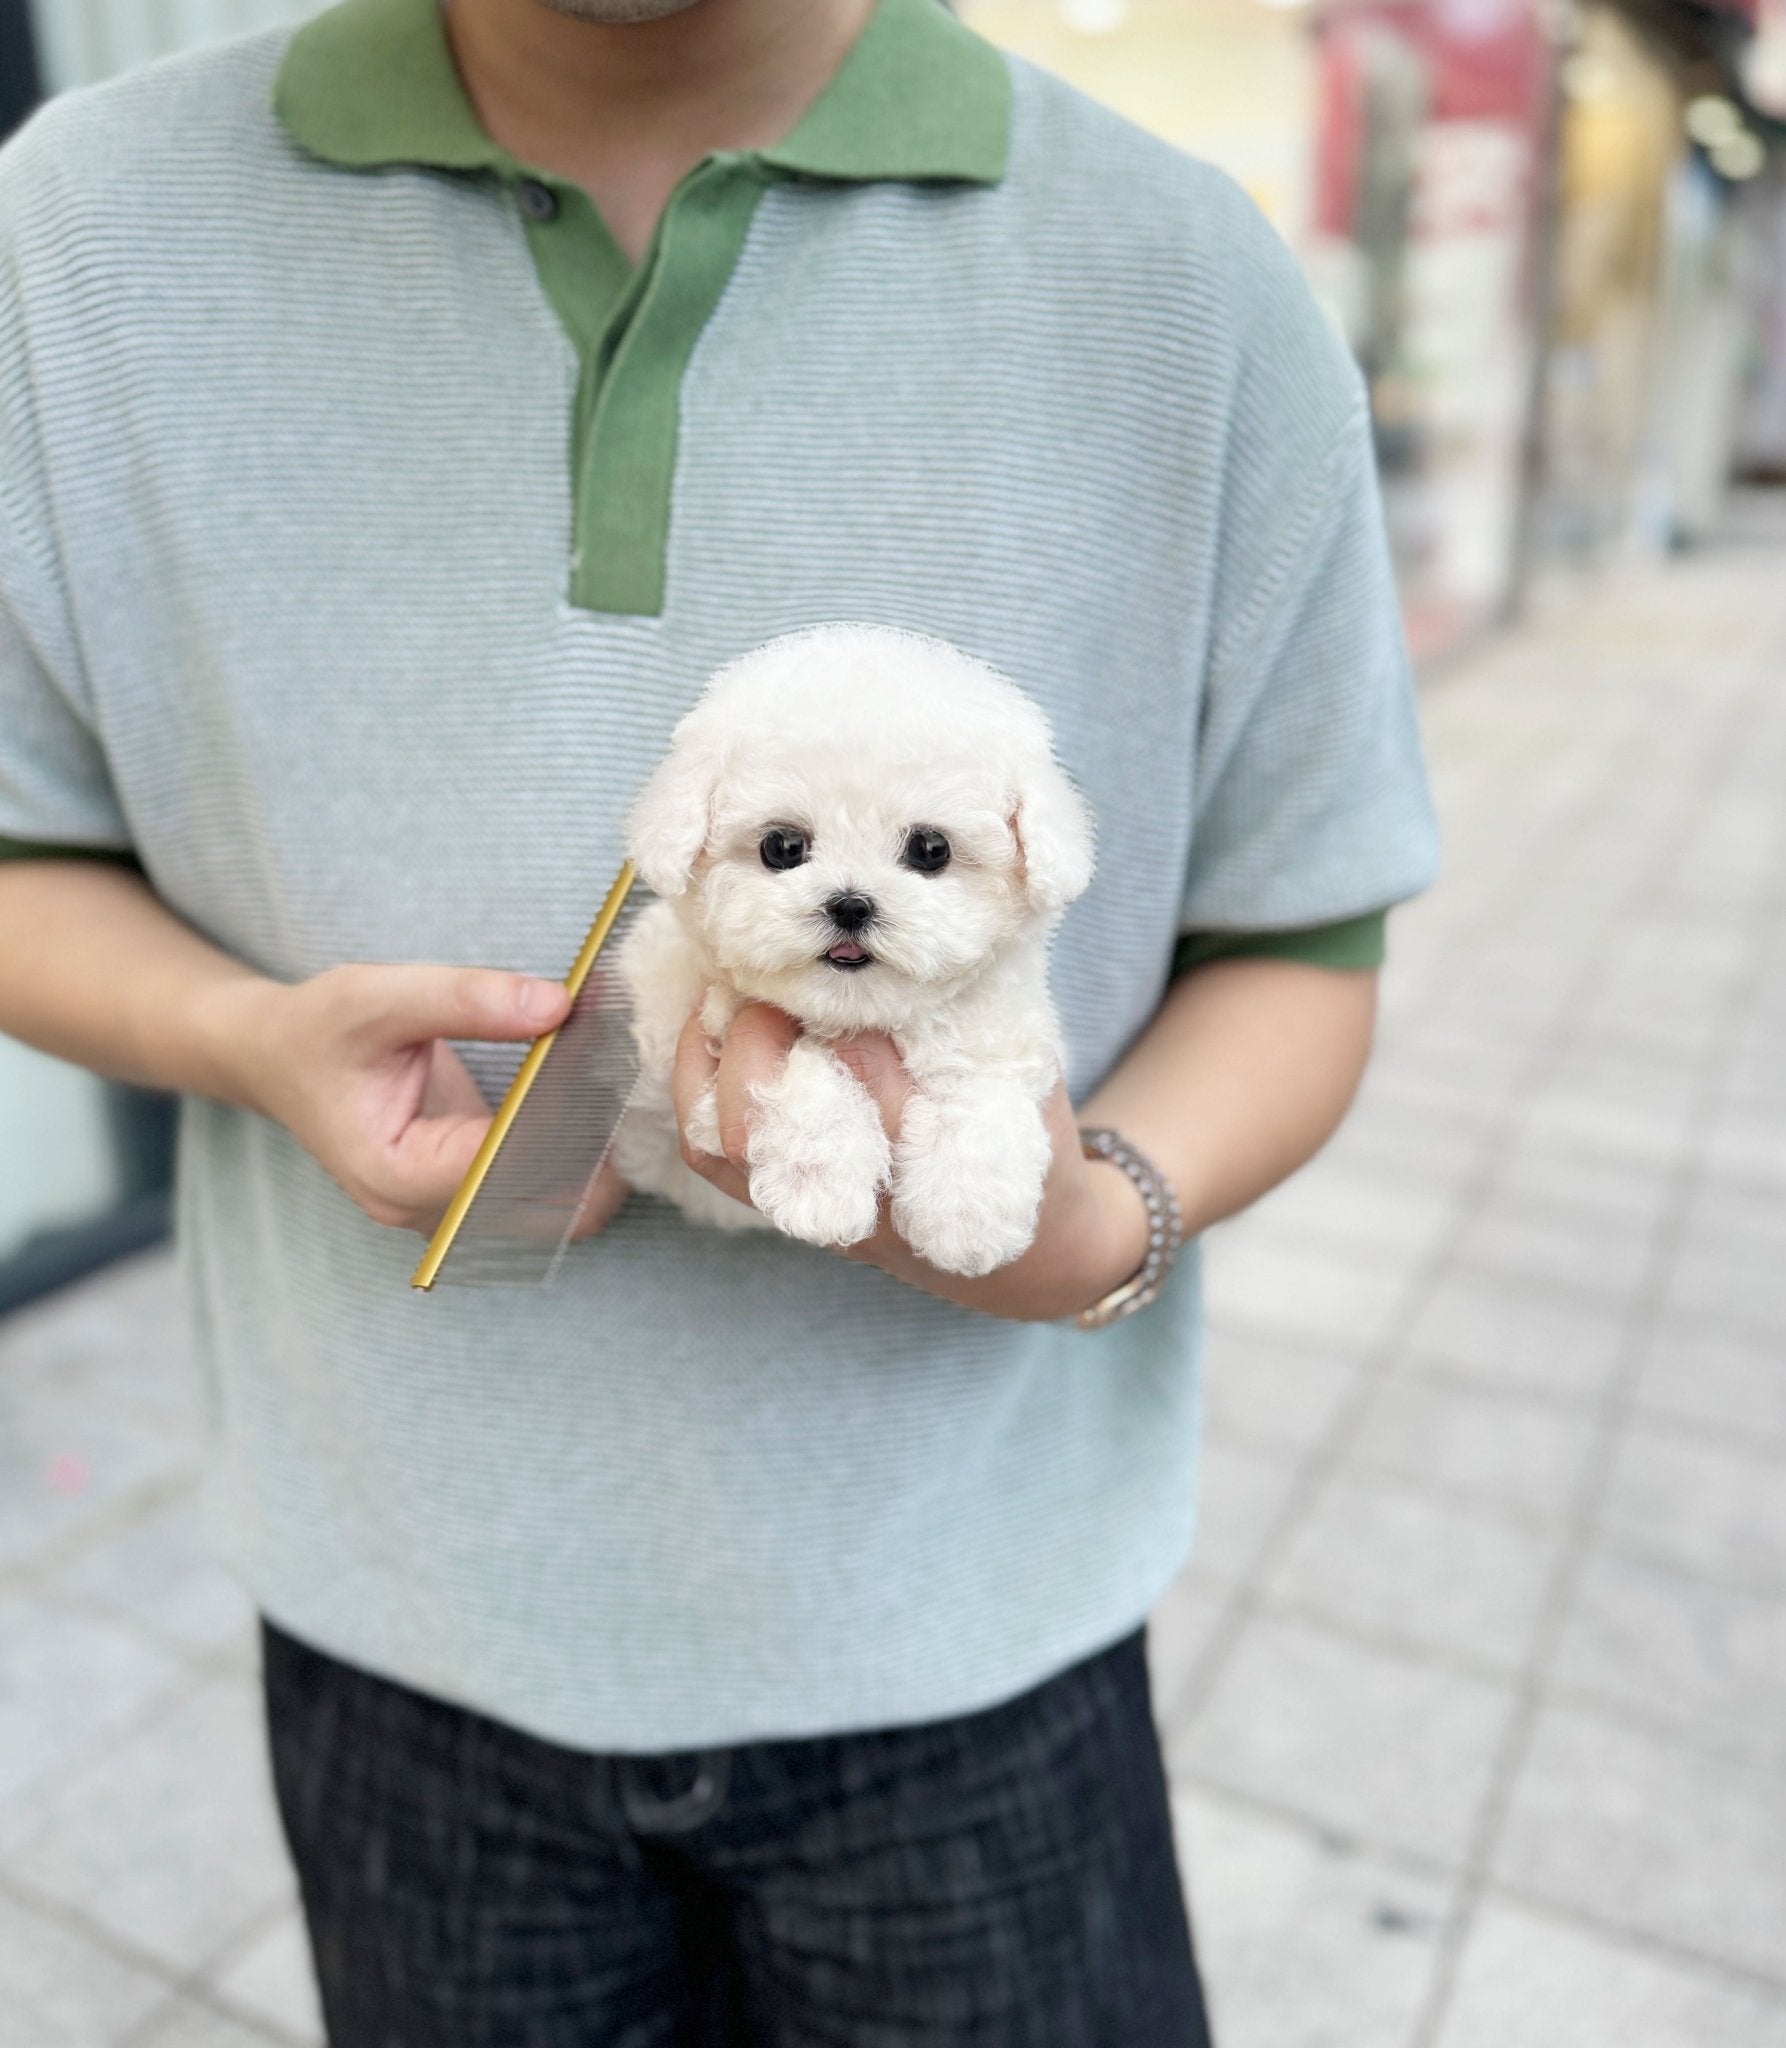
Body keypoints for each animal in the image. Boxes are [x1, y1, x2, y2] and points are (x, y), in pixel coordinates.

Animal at [610, 614, 1089, 1269]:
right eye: (783, 846)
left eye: (931, 849)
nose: (851, 905)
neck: (861, 1014)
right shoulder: (710, 1061)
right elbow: (808, 1064)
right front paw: (819, 1184)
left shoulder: (1008, 1030)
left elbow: (977, 1083)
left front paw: (969, 1214)